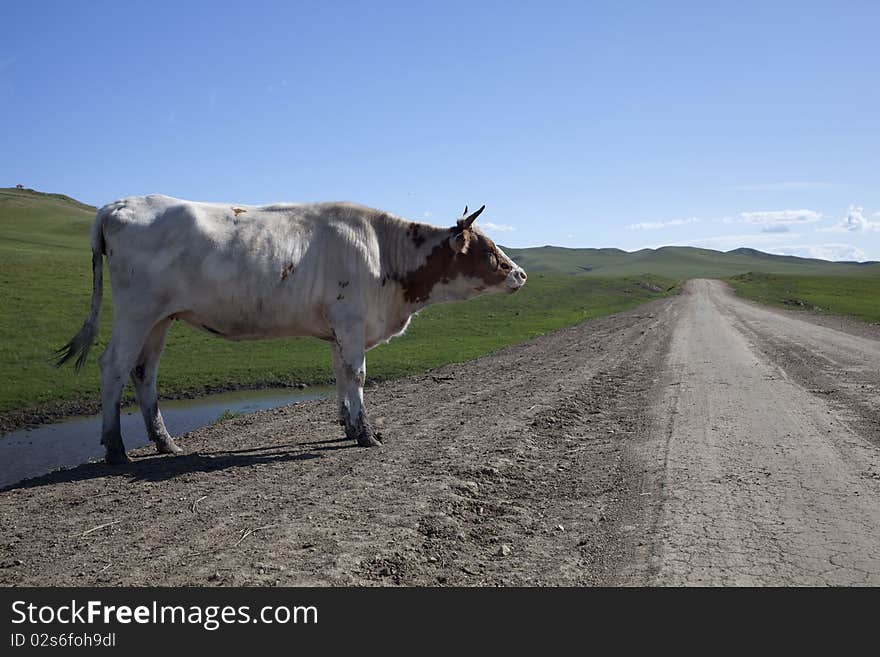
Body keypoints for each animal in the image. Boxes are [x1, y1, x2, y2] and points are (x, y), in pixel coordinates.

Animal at [58, 195, 524, 462]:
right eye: (488, 249)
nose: (520, 273)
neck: (382, 254)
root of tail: (117, 204)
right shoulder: (352, 322)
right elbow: (358, 375)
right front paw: (366, 434)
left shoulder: (340, 330)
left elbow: (341, 375)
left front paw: (349, 426)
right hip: (136, 312)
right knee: (114, 367)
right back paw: (116, 449)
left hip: (159, 320)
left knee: (144, 373)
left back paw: (165, 443)